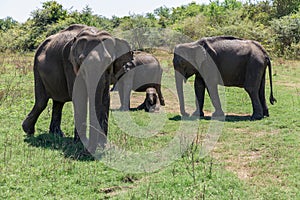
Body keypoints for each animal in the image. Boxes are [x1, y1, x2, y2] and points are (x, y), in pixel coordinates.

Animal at [21, 23, 132, 152]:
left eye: (108, 61)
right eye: (81, 61)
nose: (92, 149)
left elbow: (105, 98)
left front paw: (103, 145)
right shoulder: (69, 63)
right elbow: (79, 97)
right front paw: (80, 144)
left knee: (58, 102)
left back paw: (56, 134)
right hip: (37, 69)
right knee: (42, 102)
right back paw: (28, 130)